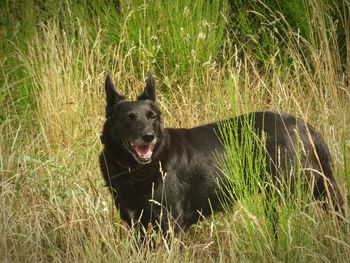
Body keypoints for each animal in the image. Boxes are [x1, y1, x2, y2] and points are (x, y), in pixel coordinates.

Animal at [99, 73, 344, 237]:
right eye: (130, 118)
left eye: (153, 117)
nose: (149, 136)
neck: (136, 170)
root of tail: (306, 127)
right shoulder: (137, 226)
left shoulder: (171, 223)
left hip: (282, 199)